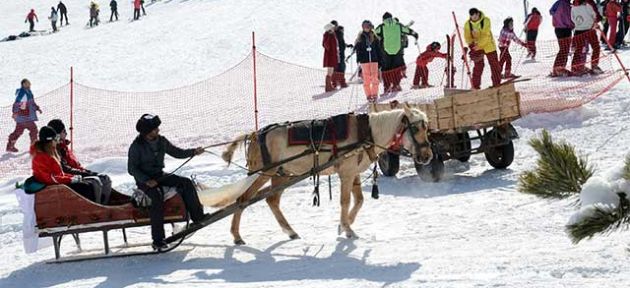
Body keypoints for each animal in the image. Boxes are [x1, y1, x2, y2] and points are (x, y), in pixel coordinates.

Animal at [222, 104, 434, 244]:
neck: (367, 132)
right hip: (263, 172)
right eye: (416, 127)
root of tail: (255, 134)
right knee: (243, 199)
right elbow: (345, 201)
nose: (427, 155)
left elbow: (359, 200)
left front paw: (344, 225)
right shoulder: (346, 174)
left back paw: (290, 231)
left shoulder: (353, 173)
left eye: (427, 127)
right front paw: (348, 229)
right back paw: (236, 235)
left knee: (271, 200)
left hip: (282, 175)